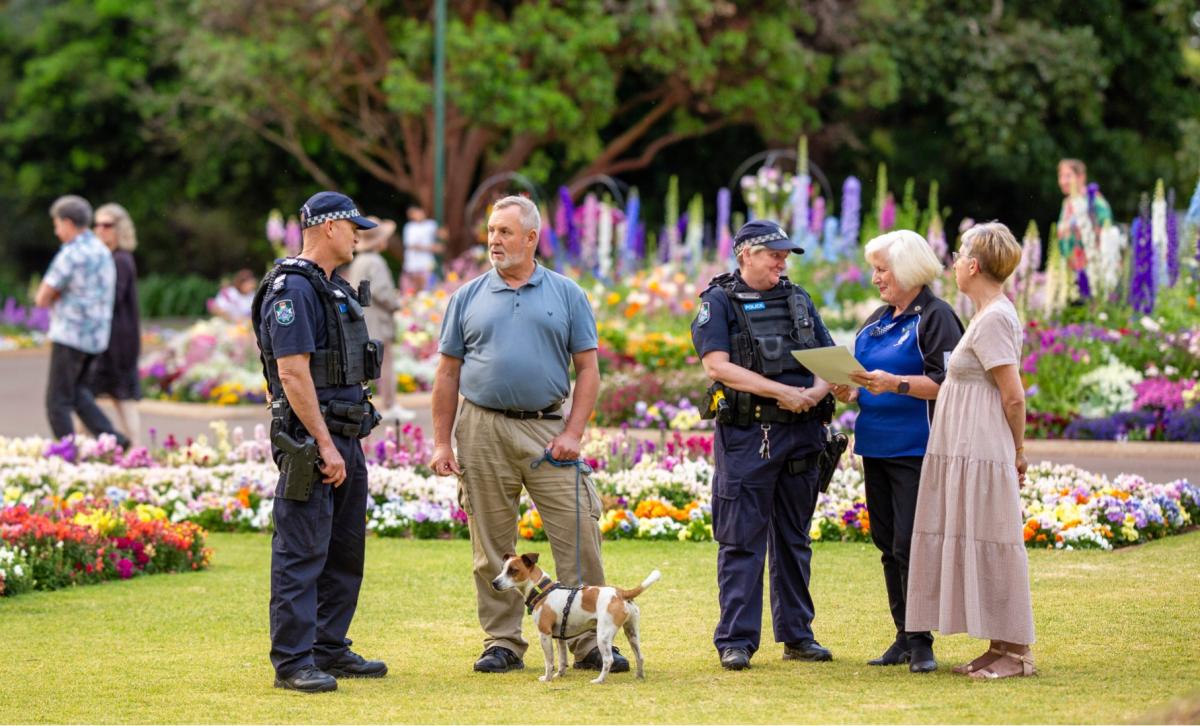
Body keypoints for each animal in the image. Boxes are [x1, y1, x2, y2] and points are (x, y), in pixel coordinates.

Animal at [494, 552, 667, 681]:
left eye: (513, 570)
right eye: (502, 569)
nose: (494, 583)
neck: (542, 590)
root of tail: (621, 593)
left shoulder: (545, 634)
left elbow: (549, 661)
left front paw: (547, 678)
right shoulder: (560, 638)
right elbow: (562, 660)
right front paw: (559, 675)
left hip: (603, 635)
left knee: (608, 660)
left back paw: (599, 680)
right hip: (632, 633)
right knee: (640, 656)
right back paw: (639, 676)